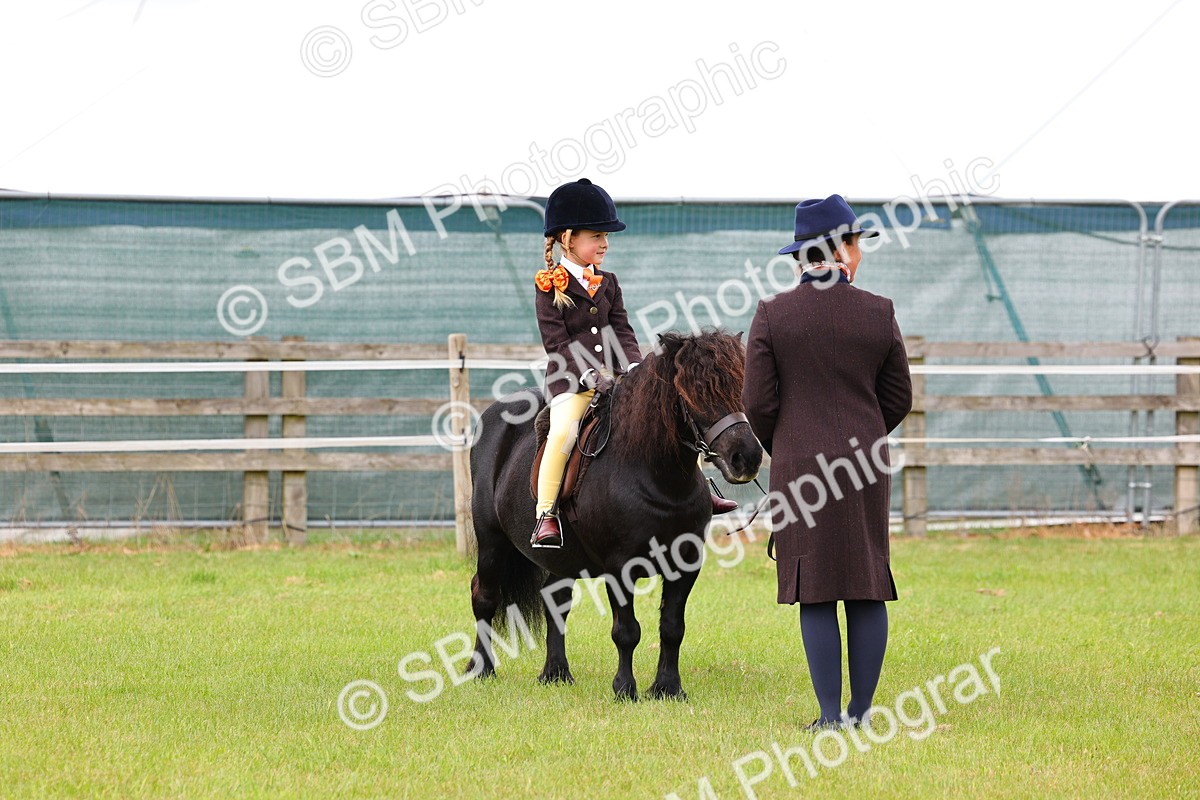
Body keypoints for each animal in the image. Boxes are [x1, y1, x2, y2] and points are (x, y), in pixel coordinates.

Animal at [467, 329, 764, 701]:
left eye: (740, 385)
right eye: (693, 391)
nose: (747, 457)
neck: (656, 477)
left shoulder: (686, 562)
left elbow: (672, 627)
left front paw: (668, 688)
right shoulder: (620, 567)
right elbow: (627, 630)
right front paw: (625, 689)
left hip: (562, 558)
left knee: (555, 600)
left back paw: (556, 673)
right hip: (492, 542)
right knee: (484, 596)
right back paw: (481, 669)